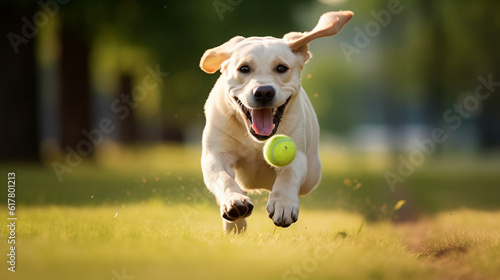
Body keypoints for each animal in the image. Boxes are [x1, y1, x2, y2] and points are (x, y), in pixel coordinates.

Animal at [199, 10, 352, 232]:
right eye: (244, 68)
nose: (264, 92)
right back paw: (234, 223)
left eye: (281, 68)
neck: (256, 140)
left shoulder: (298, 154)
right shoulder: (215, 155)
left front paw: (284, 204)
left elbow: (289, 174)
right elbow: (224, 177)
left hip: (313, 174)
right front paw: (234, 202)